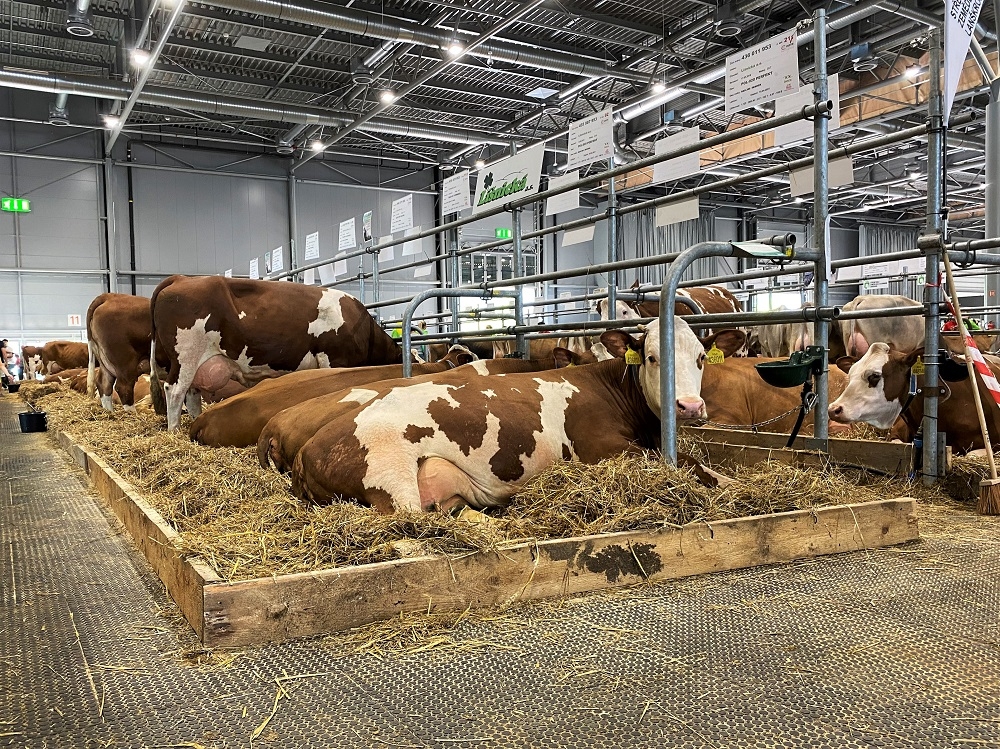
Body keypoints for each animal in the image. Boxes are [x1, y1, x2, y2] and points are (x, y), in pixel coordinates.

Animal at [150, 276, 405, 431]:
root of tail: (182, 278)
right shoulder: (336, 360)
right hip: (185, 358)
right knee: (174, 392)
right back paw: (174, 431)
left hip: (198, 364)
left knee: (192, 395)